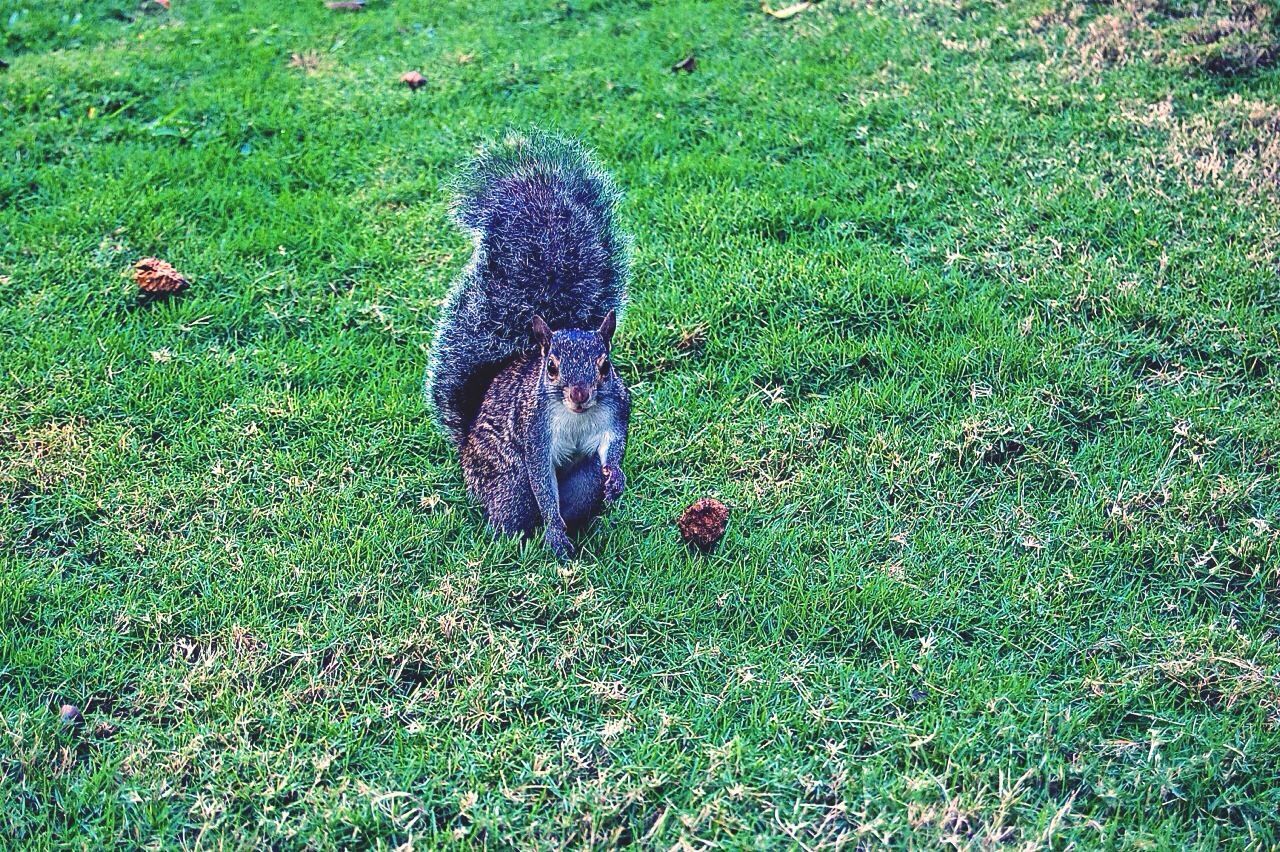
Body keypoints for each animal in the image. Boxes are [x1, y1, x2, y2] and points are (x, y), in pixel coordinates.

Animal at [427, 131, 632, 557]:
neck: (575, 416)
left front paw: (617, 478)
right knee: (516, 509)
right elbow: (542, 484)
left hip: (583, 480)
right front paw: (554, 531)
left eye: (605, 366)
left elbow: (613, 448)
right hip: (507, 481)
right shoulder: (534, 431)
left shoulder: (615, 414)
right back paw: (516, 538)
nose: (579, 394)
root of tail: (466, 450)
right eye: (551, 367)